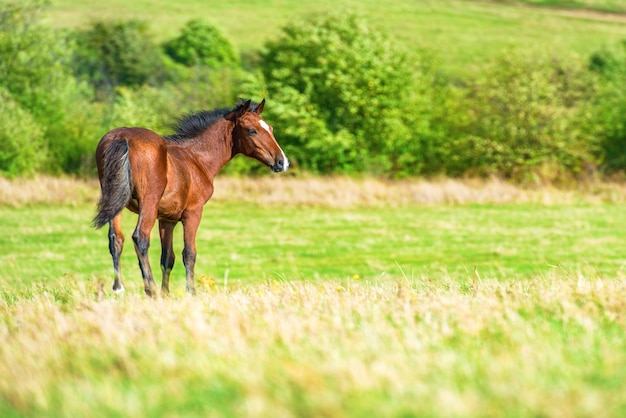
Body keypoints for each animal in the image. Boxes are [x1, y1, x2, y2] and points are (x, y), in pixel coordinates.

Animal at [92, 99, 288, 296]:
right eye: (252, 130)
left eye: (270, 128)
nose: (282, 162)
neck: (196, 158)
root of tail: (122, 137)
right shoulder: (193, 212)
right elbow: (189, 253)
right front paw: (190, 292)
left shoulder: (167, 219)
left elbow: (167, 258)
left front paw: (166, 294)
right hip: (148, 202)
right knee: (140, 237)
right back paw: (150, 289)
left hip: (116, 200)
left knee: (116, 238)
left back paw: (119, 288)